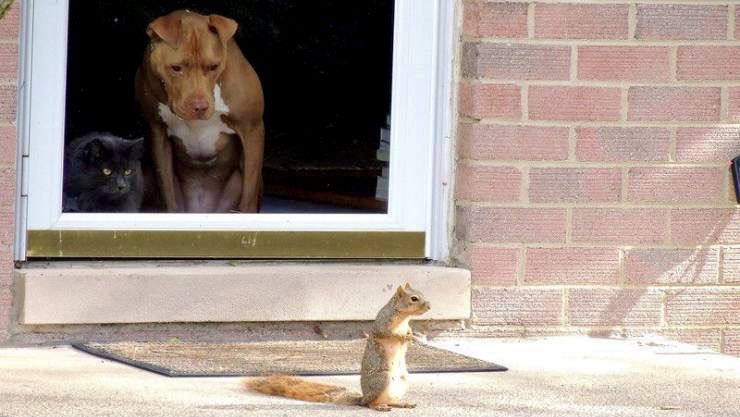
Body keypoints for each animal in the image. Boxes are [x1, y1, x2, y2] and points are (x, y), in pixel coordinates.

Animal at [134, 9, 264, 211]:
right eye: (176, 68)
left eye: (213, 67)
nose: (200, 107)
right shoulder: (156, 130)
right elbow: (167, 191)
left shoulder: (251, 129)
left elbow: (248, 196)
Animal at [246, 282, 430, 412]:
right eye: (414, 298)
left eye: (422, 294)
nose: (429, 306)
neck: (403, 318)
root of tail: (363, 397)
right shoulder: (383, 323)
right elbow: (386, 334)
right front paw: (404, 336)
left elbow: (408, 331)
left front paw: (411, 334)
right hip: (381, 380)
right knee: (370, 403)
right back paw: (378, 406)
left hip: (403, 381)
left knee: (387, 400)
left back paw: (402, 403)